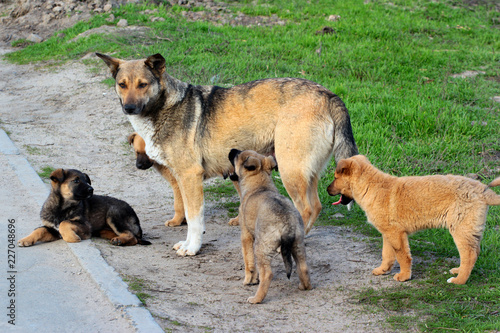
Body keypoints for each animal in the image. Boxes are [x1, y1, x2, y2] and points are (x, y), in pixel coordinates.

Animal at [97, 52, 358, 255]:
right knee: (316, 207)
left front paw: (192, 248)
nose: (129, 108)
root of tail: (328, 95)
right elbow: (187, 214)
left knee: (307, 209)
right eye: (122, 84)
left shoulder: (190, 177)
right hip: (305, 173)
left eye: (143, 84)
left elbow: (194, 219)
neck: (164, 106)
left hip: (290, 171)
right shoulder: (182, 180)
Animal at [228, 149, 312, 302]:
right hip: (298, 244)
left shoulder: (246, 236)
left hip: (261, 248)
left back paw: (256, 299)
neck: (260, 185)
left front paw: (249, 280)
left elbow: (248, 260)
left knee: (267, 274)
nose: (232, 150)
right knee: (303, 267)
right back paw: (304, 286)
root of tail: (287, 224)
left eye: (237, 156)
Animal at [326, 154, 498, 284]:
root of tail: (483, 190)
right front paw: (382, 270)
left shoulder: (396, 234)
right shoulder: (388, 233)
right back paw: (458, 271)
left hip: (460, 228)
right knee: (474, 251)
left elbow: (403, 256)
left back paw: (459, 280)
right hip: (469, 229)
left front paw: (404, 276)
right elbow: (387, 255)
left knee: (469, 254)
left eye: (335, 177)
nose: (327, 190)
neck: (371, 186)